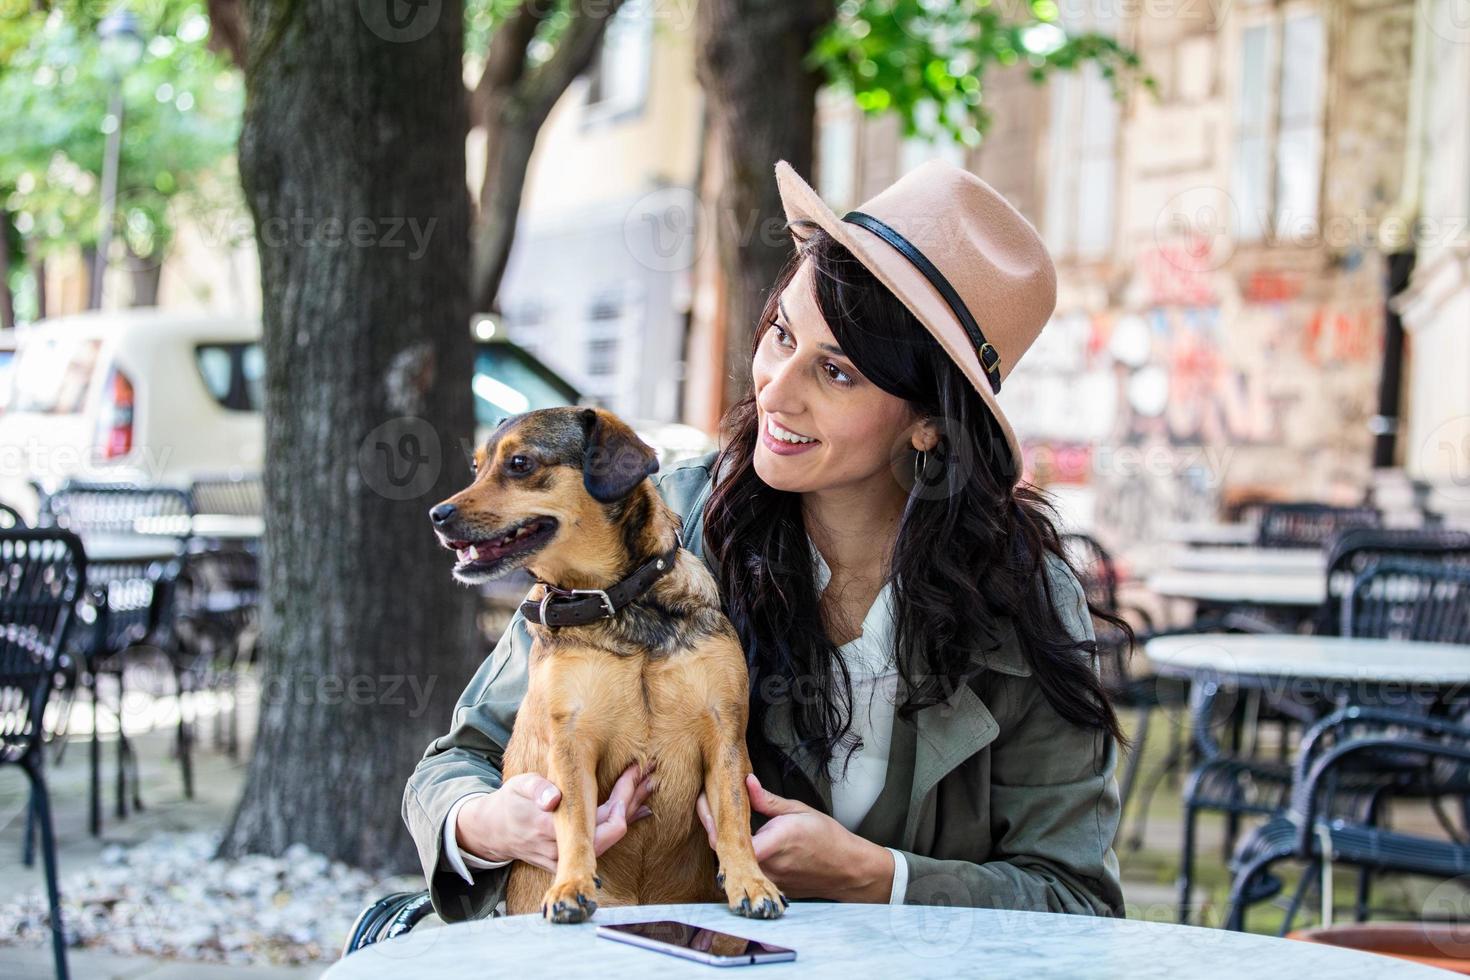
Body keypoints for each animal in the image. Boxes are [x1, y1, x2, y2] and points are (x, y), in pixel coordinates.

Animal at [429, 408, 787, 928]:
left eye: (519, 463)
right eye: (476, 467)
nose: (436, 515)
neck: (620, 603)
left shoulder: (725, 734)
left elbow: (735, 815)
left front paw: (750, 879)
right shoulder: (572, 742)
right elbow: (574, 819)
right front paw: (571, 885)